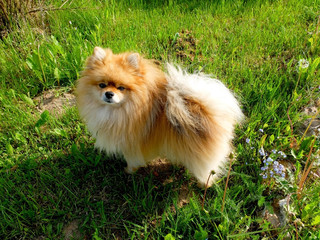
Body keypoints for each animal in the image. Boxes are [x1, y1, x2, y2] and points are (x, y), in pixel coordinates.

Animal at [77, 47, 242, 188]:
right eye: (102, 85)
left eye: (121, 88)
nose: (109, 94)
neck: (122, 109)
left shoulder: (131, 145)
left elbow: (132, 161)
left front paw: (129, 171)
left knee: (207, 172)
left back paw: (204, 186)